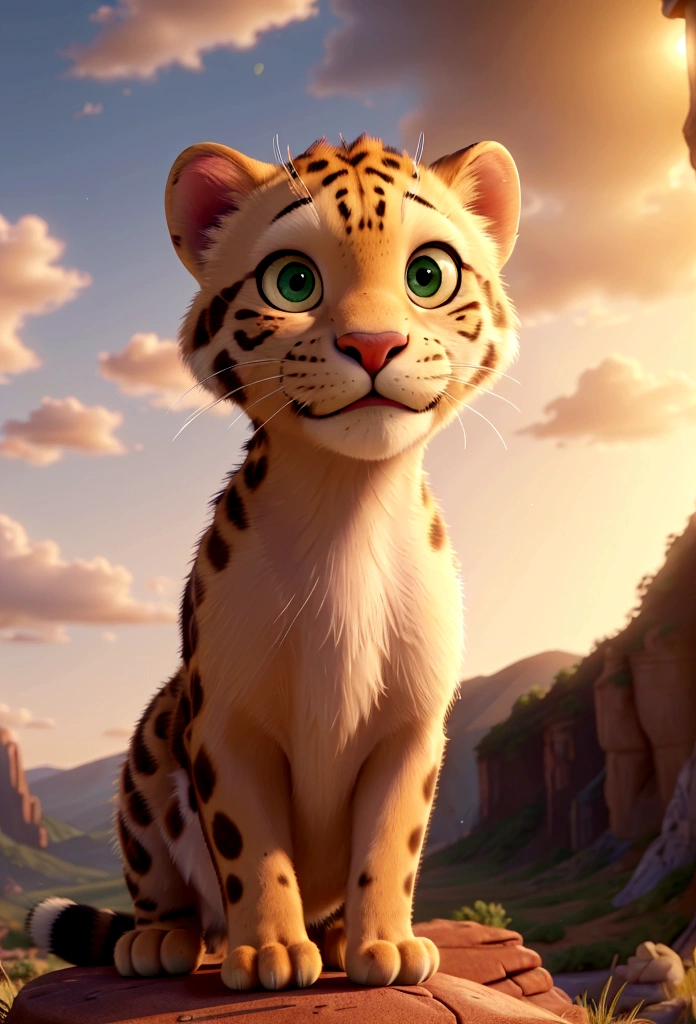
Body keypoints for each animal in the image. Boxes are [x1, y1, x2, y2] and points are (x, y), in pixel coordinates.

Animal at [27, 131, 520, 993]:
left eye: (428, 274)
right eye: (294, 280)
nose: (373, 344)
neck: (349, 501)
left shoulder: (413, 724)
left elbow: (393, 840)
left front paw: (384, 945)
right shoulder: (224, 717)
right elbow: (248, 842)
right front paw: (269, 953)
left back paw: (334, 936)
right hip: (152, 744)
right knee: (161, 877)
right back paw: (161, 938)